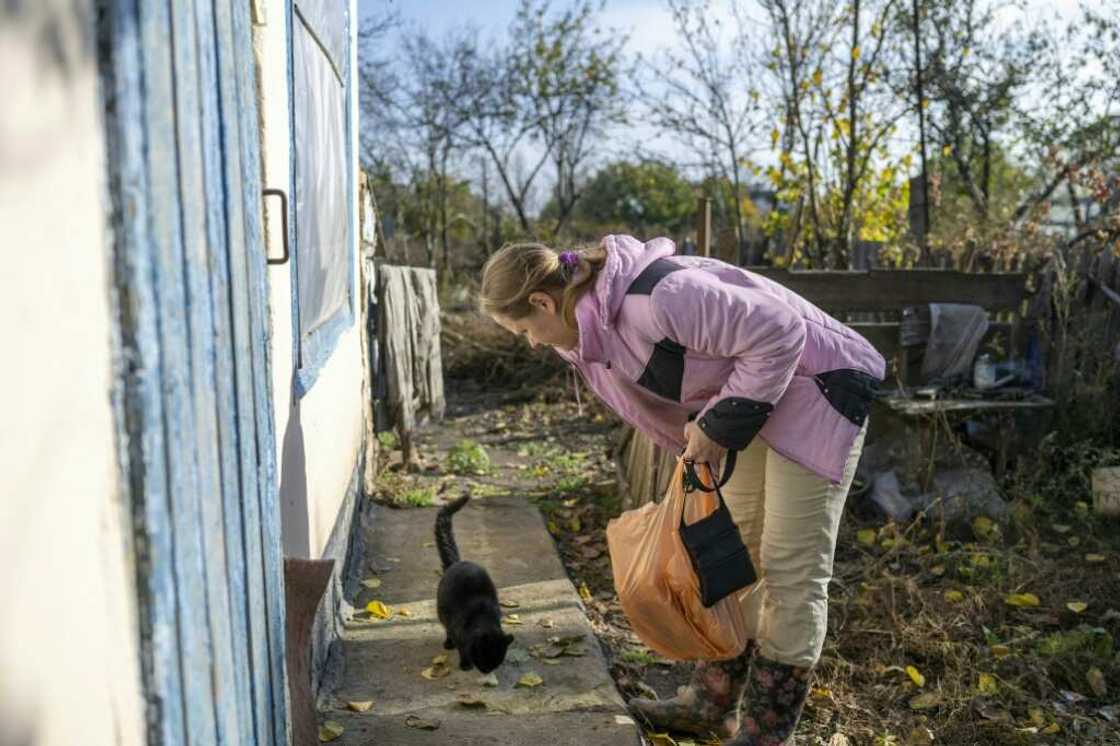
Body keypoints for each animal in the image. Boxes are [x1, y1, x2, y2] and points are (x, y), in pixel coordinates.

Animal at [434, 490, 512, 672]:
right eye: (484, 656)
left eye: (497, 660)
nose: (487, 670)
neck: (482, 617)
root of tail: (457, 562)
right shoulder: (458, 631)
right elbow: (462, 648)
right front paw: (465, 664)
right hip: (443, 612)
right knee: (446, 629)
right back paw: (448, 644)